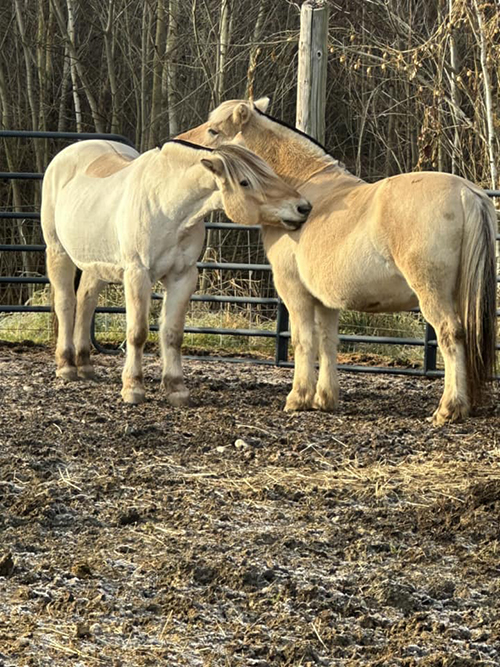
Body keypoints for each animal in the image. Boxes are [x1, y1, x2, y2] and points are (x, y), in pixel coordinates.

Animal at [43, 138, 310, 404]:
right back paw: (67, 366)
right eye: (245, 182)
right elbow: (137, 332)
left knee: (85, 302)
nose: (303, 207)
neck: (166, 205)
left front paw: (176, 388)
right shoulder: (138, 275)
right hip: (59, 253)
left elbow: (172, 333)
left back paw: (85, 365)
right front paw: (133, 388)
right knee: (66, 303)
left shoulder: (182, 277)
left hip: (96, 263)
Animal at [178, 97, 498, 426]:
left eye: (214, 130)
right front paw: (324, 399)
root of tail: (466, 193)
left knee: (450, 334)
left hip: (432, 292)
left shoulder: (294, 290)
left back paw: (449, 407)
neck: (307, 190)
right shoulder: (325, 300)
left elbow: (303, 340)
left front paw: (298, 398)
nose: (182, 144)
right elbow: (327, 341)